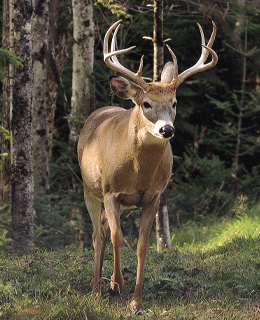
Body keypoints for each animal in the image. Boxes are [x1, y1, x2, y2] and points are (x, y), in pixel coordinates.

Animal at [77, 19, 217, 312]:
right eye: (146, 103)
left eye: (174, 103)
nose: (167, 130)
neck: (137, 173)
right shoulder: (111, 192)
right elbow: (118, 237)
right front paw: (116, 285)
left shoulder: (153, 195)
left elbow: (142, 245)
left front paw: (136, 301)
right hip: (89, 190)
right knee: (97, 234)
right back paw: (95, 289)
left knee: (103, 230)